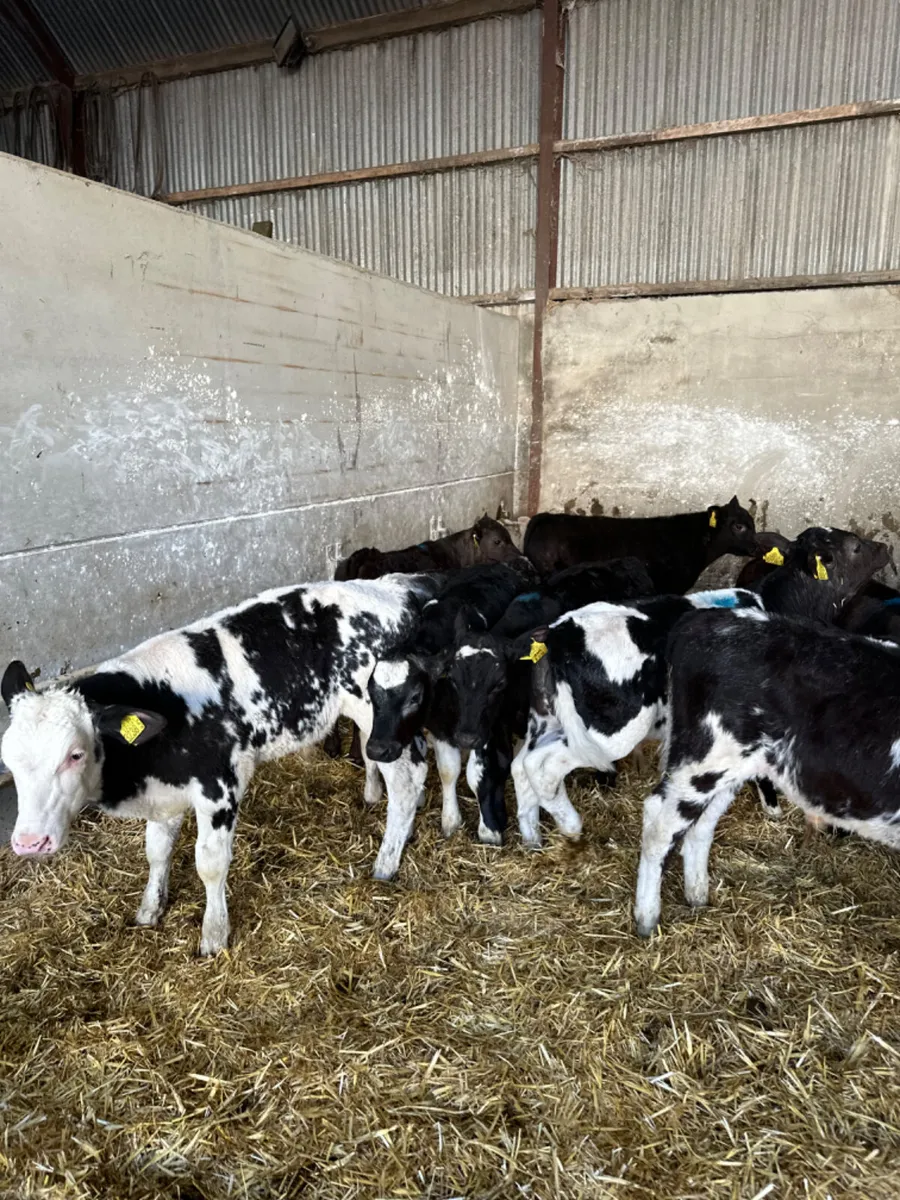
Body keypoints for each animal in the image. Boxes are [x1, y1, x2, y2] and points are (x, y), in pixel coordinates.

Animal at [0, 575, 440, 955]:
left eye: (74, 754)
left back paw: (386, 863)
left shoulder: (219, 788)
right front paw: (149, 909)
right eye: (8, 761)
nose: (28, 843)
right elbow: (156, 851)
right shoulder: (165, 793)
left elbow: (210, 864)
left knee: (408, 779)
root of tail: (394, 587)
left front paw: (214, 936)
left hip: (380, 719)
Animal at [509, 589, 765, 849]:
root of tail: (557, 632)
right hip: (610, 734)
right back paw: (571, 827)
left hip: (547, 719)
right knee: (543, 765)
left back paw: (533, 840)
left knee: (520, 764)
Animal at [633, 608, 900, 937]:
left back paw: (697, 896)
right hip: (703, 760)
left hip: (730, 767)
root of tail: (704, 618)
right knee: (659, 824)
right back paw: (647, 918)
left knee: (702, 824)